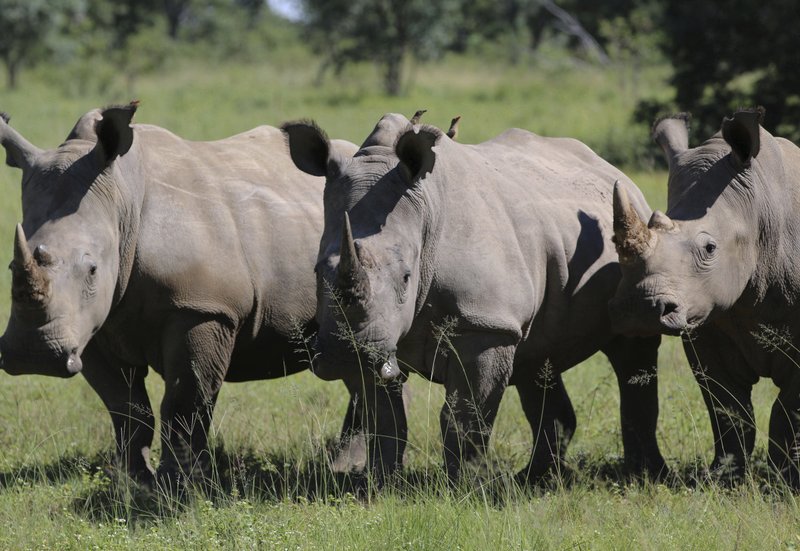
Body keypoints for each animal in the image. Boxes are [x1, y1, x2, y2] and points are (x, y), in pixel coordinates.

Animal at [0, 104, 363, 487]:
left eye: (93, 269)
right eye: (10, 266)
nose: (34, 355)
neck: (121, 200)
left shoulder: (202, 308)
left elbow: (184, 401)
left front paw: (180, 484)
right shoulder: (90, 325)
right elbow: (124, 405)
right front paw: (134, 481)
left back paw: (343, 468)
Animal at [283, 113, 666, 482]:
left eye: (406, 277)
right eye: (316, 272)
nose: (344, 355)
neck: (426, 212)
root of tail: (613, 171)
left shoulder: (484, 325)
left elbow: (465, 415)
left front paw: (466, 486)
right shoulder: (379, 339)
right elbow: (385, 419)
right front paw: (379, 484)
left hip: (634, 245)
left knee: (633, 351)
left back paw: (644, 475)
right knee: (537, 358)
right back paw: (534, 478)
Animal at [610, 108, 800, 486]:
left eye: (710, 248)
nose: (641, 309)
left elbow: (787, 410)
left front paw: (785, 480)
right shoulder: (705, 317)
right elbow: (728, 408)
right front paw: (724, 478)